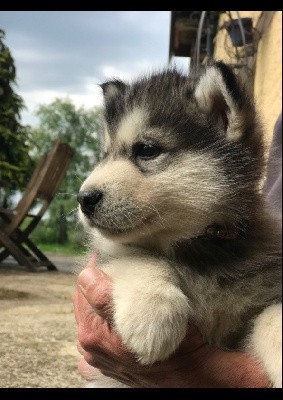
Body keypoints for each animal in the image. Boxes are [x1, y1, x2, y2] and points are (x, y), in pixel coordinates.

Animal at [77, 61, 282, 388]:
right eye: (104, 156)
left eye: (147, 150)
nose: (84, 199)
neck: (199, 251)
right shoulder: (108, 258)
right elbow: (139, 257)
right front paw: (151, 312)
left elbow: (272, 315)